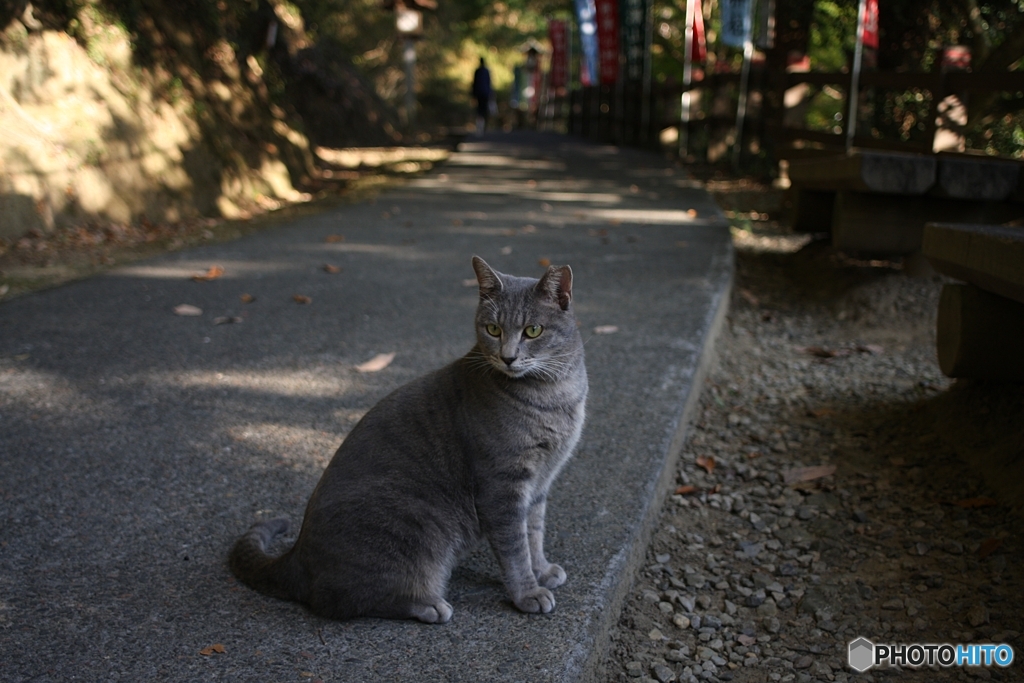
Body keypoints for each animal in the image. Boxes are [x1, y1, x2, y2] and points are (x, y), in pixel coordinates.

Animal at [229, 255, 589, 626]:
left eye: (533, 331)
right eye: (493, 330)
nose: (507, 356)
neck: (554, 394)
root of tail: (296, 556)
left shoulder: (540, 482)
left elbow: (534, 533)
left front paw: (542, 569)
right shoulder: (502, 488)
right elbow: (515, 549)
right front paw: (528, 593)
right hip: (415, 525)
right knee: (339, 600)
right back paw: (428, 604)